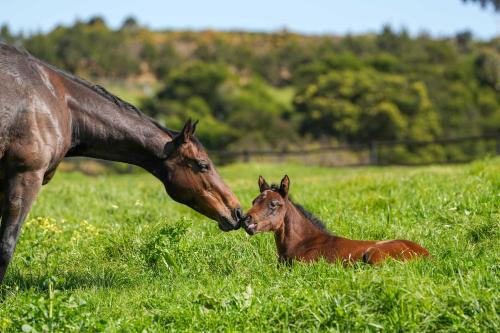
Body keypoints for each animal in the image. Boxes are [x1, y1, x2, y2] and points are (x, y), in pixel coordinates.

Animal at [243, 174, 430, 264]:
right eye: (254, 201)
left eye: (274, 204)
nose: (246, 220)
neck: (302, 243)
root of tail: (426, 255)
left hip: (373, 254)